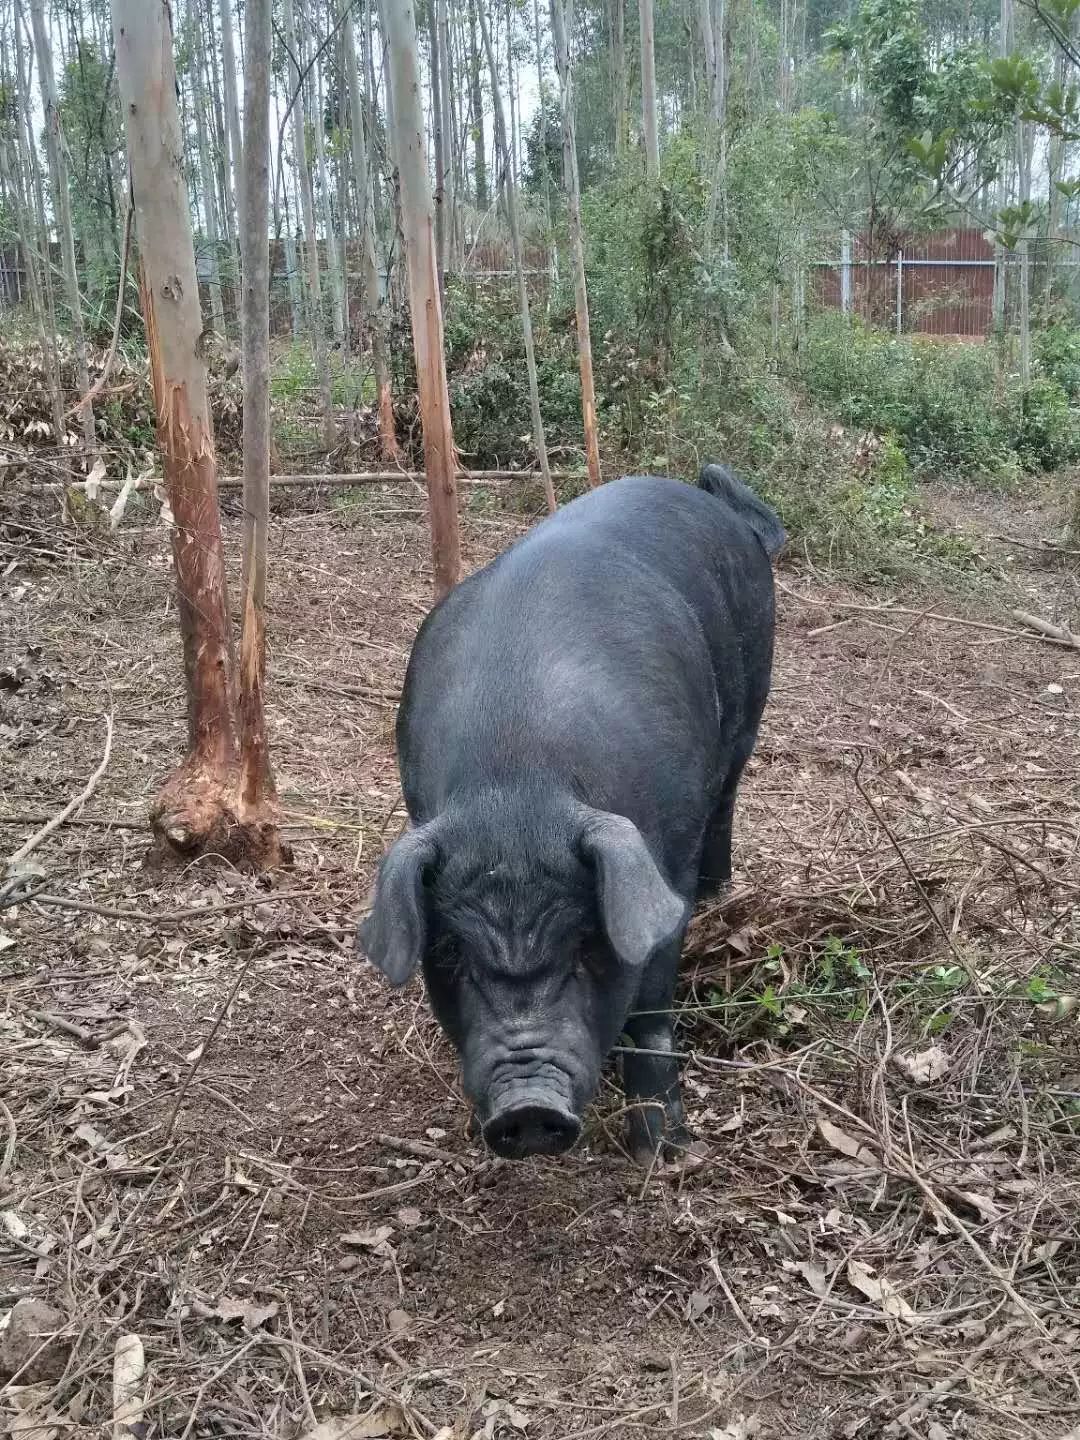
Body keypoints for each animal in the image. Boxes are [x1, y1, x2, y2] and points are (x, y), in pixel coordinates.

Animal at [360, 466, 783, 1163]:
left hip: (754, 690)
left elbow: (653, 997)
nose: (529, 1105)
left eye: (588, 943)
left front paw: (662, 1151)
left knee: (730, 791)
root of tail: (710, 497)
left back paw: (720, 888)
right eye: (449, 954)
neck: (518, 788)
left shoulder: (667, 859)